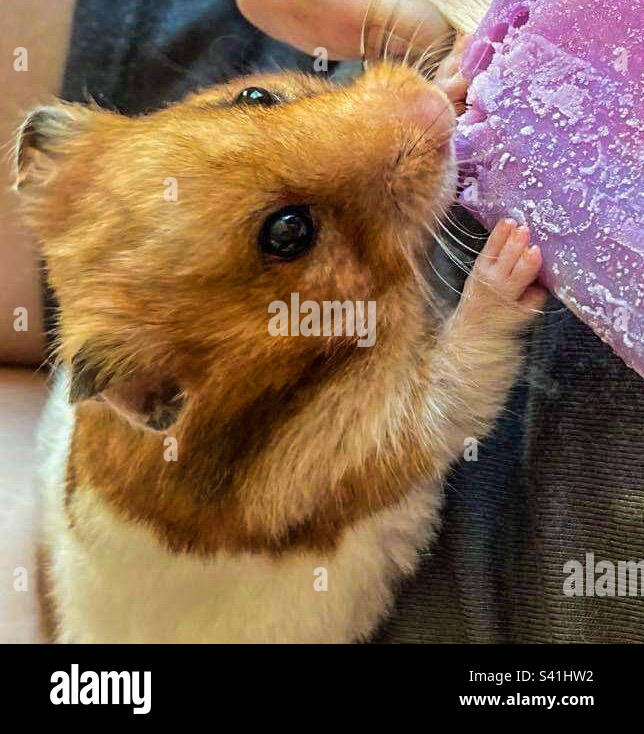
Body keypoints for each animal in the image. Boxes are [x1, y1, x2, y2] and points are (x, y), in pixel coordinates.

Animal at [17, 45, 546, 642]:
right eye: (288, 232)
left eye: (255, 96)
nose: (431, 108)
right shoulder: (345, 449)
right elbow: (455, 381)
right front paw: (512, 255)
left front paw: (458, 75)